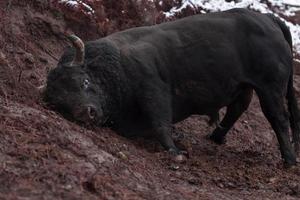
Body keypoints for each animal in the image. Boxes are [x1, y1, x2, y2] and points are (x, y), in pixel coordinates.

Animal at [43, 8, 300, 166]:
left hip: (270, 89)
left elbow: (161, 122)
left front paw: (176, 153)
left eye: (84, 81)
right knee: (238, 108)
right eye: (59, 102)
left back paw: (289, 160)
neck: (118, 63)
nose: (87, 112)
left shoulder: (154, 91)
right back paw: (215, 138)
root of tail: (268, 19)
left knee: (278, 118)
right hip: (247, 86)